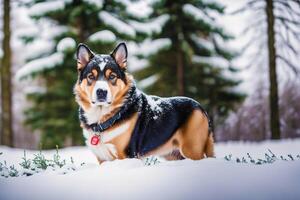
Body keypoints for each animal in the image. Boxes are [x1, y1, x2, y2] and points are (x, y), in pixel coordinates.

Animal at [73, 43, 213, 163]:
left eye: (112, 76)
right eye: (91, 76)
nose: (101, 92)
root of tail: (200, 107)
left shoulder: (128, 155)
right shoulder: (102, 159)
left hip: (192, 149)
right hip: (174, 154)